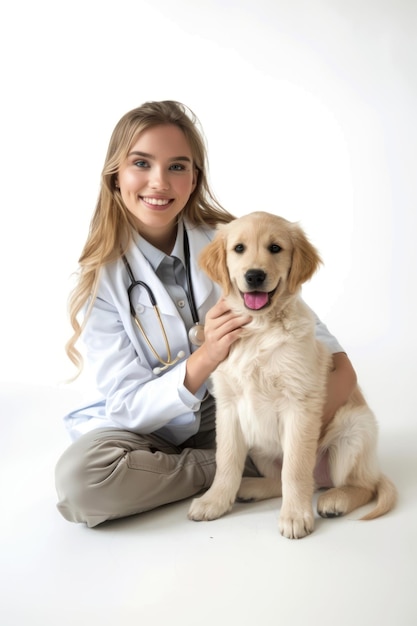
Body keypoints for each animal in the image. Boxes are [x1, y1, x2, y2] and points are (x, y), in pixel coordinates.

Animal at [188, 210, 396, 536]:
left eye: (275, 248)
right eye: (239, 249)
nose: (255, 276)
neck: (259, 328)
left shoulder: (299, 404)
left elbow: (296, 468)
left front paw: (296, 516)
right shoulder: (229, 406)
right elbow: (227, 460)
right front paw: (215, 501)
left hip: (355, 429)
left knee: (361, 485)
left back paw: (335, 500)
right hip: (259, 446)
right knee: (286, 479)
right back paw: (250, 488)